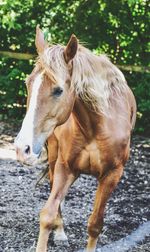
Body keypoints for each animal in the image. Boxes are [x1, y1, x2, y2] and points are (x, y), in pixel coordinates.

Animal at [14, 26, 137, 252]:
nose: (21, 148)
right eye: (28, 83)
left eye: (58, 90)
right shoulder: (65, 167)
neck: (96, 127)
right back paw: (61, 232)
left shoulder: (112, 175)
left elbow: (95, 224)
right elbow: (47, 214)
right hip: (55, 157)